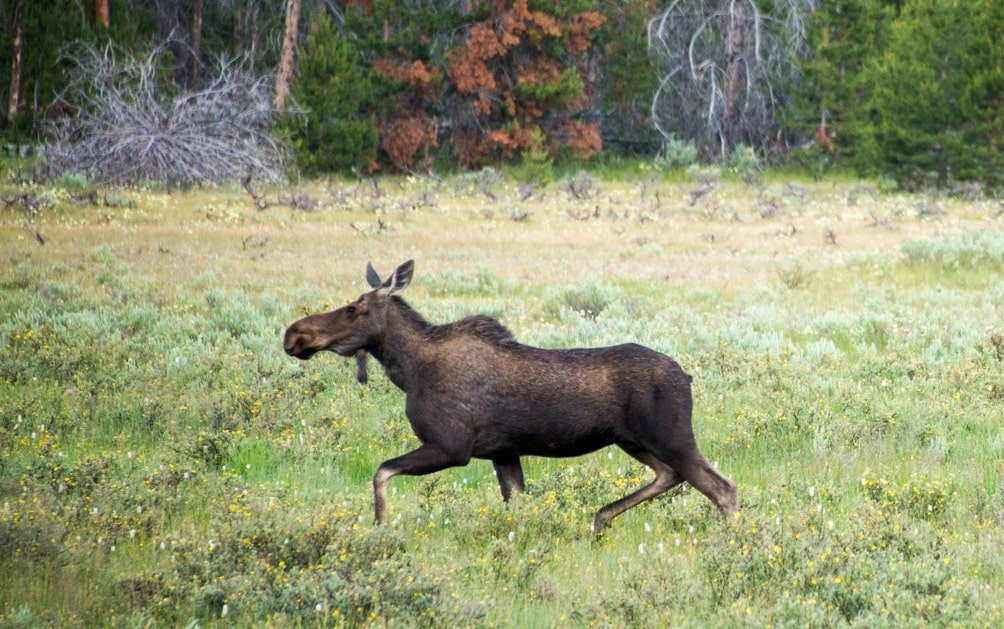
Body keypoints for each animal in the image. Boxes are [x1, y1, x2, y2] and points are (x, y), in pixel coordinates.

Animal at [283, 259, 738, 530]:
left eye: (353, 308)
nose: (294, 335)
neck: (408, 371)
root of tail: (688, 377)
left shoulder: (452, 446)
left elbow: (380, 472)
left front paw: (380, 527)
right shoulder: (502, 453)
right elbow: (516, 509)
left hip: (670, 436)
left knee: (722, 488)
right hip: (632, 440)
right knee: (670, 476)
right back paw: (601, 516)